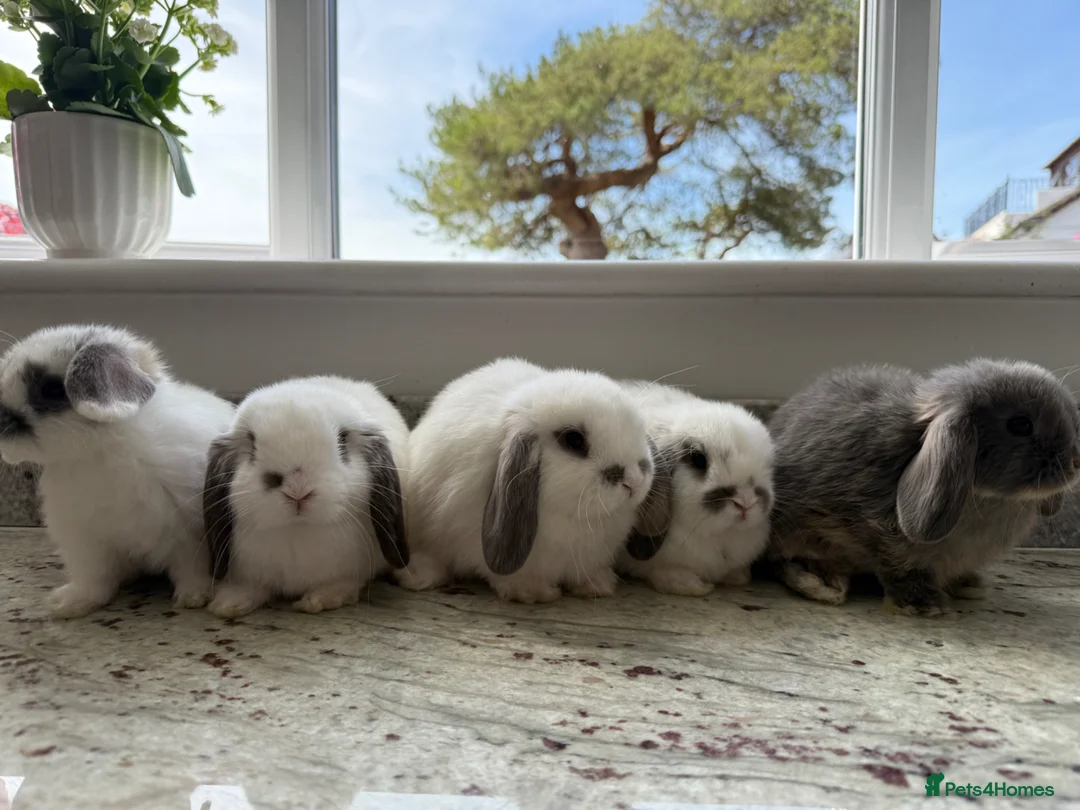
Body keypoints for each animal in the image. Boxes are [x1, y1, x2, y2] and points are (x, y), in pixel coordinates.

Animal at [0, 324, 235, 618]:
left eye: (51, 389)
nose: (0, 426)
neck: (99, 449)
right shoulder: (86, 543)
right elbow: (95, 580)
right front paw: (69, 604)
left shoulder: (190, 536)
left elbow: (192, 571)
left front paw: (193, 598)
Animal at [202, 376, 409, 618]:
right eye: (252, 444)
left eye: (342, 440)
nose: (297, 489)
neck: (297, 530)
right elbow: (250, 587)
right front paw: (227, 604)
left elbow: (342, 582)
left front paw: (321, 599)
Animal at [396, 357, 671, 604]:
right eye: (574, 440)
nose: (634, 481)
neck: (574, 519)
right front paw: (534, 593)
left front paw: (597, 586)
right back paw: (419, 576)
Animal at [616, 382, 774, 596]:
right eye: (698, 459)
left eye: (767, 465)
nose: (746, 502)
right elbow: (663, 571)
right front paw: (695, 586)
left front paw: (738, 577)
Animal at [767, 359, 1080, 616]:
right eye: (1020, 425)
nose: (1076, 461)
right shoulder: (877, 532)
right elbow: (899, 567)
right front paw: (923, 604)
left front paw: (968, 584)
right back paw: (822, 582)